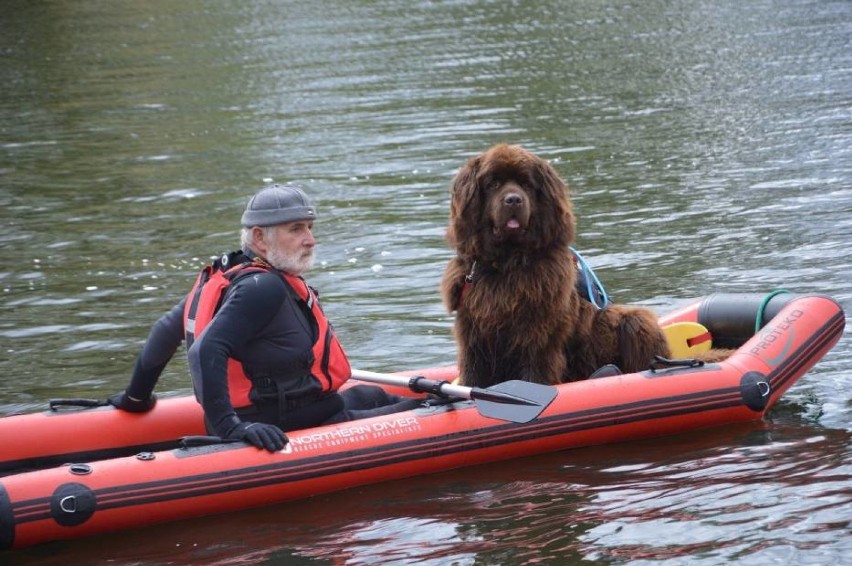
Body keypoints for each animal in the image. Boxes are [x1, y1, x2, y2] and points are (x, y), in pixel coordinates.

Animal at [440, 144, 672, 388]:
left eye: (526, 184)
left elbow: (534, 375)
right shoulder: (473, 335)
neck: (507, 263)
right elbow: (473, 375)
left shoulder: (539, 336)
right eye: (493, 183)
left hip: (634, 322)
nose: (513, 200)